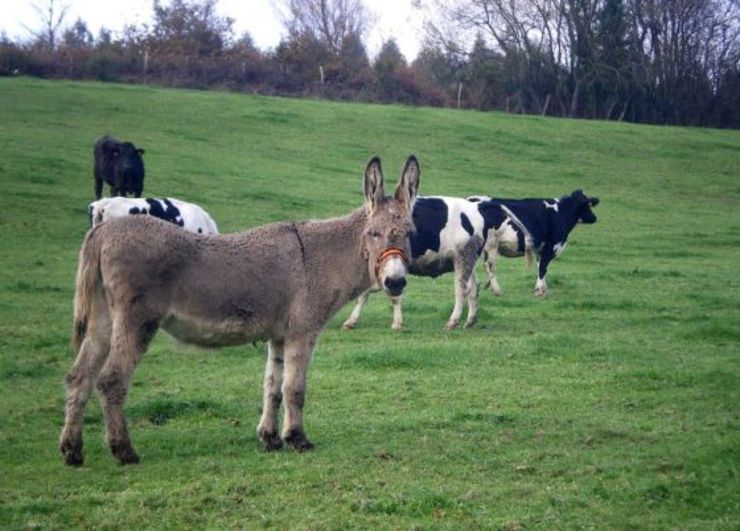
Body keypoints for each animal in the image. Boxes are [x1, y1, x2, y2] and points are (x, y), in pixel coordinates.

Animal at [344, 195, 516, 328]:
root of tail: (477, 206)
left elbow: (392, 293)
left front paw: (397, 323)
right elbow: (364, 294)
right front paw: (351, 321)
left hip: (464, 257)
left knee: (461, 289)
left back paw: (453, 321)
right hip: (467, 261)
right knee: (473, 287)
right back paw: (470, 320)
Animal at [472, 190, 600, 300]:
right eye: (587, 205)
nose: (594, 218)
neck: (561, 213)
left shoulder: (540, 249)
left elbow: (540, 268)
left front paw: (543, 289)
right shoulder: (551, 246)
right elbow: (543, 268)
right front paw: (539, 291)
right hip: (491, 245)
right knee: (489, 265)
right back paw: (496, 290)